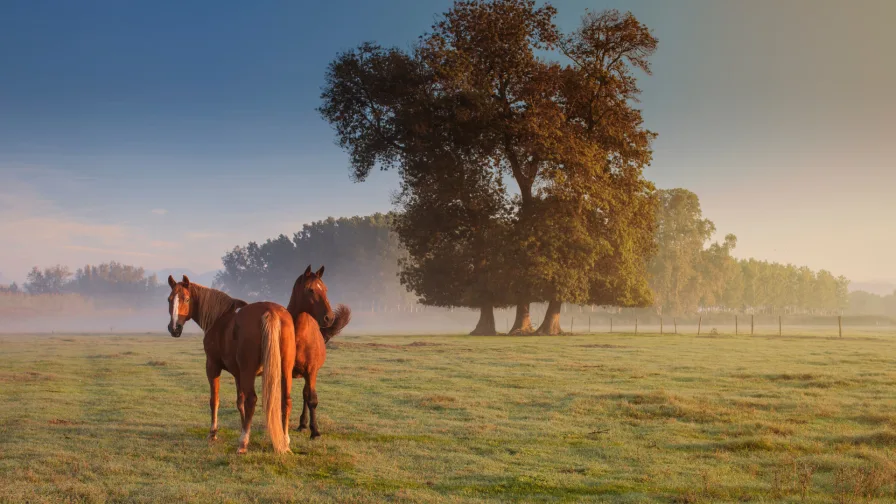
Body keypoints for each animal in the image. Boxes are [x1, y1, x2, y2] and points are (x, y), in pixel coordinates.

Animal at [166, 276, 296, 452]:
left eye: (186, 299)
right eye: (169, 299)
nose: (174, 328)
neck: (219, 318)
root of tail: (270, 312)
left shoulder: (212, 367)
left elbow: (214, 400)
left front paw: (213, 433)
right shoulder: (238, 374)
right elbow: (239, 402)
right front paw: (243, 427)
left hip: (249, 372)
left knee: (252, 400)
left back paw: (243, 442)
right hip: (285, 371)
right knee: (286, 401)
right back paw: (284, 440)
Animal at [290, 264, 354, 438]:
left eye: (325, 289)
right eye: (310, 289)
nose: (329, 318)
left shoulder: (311, 371)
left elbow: (312, 400)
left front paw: (316, 431)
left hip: (309, 375)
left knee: (306, 395)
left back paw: (304, 424)